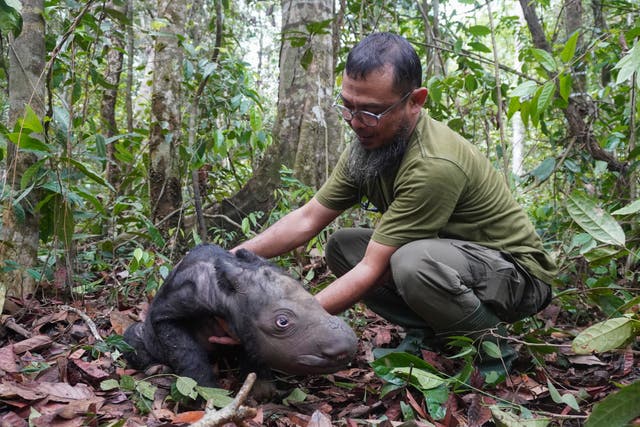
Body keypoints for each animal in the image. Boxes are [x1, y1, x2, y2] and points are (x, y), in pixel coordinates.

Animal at [122, 244, 358, 388]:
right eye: (282, 322)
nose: (347, 348)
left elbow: (253, 349)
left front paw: (262, 390)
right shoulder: (170, 309)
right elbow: (184, 350)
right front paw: (206, 391)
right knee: (132, 336)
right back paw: (155, 368)